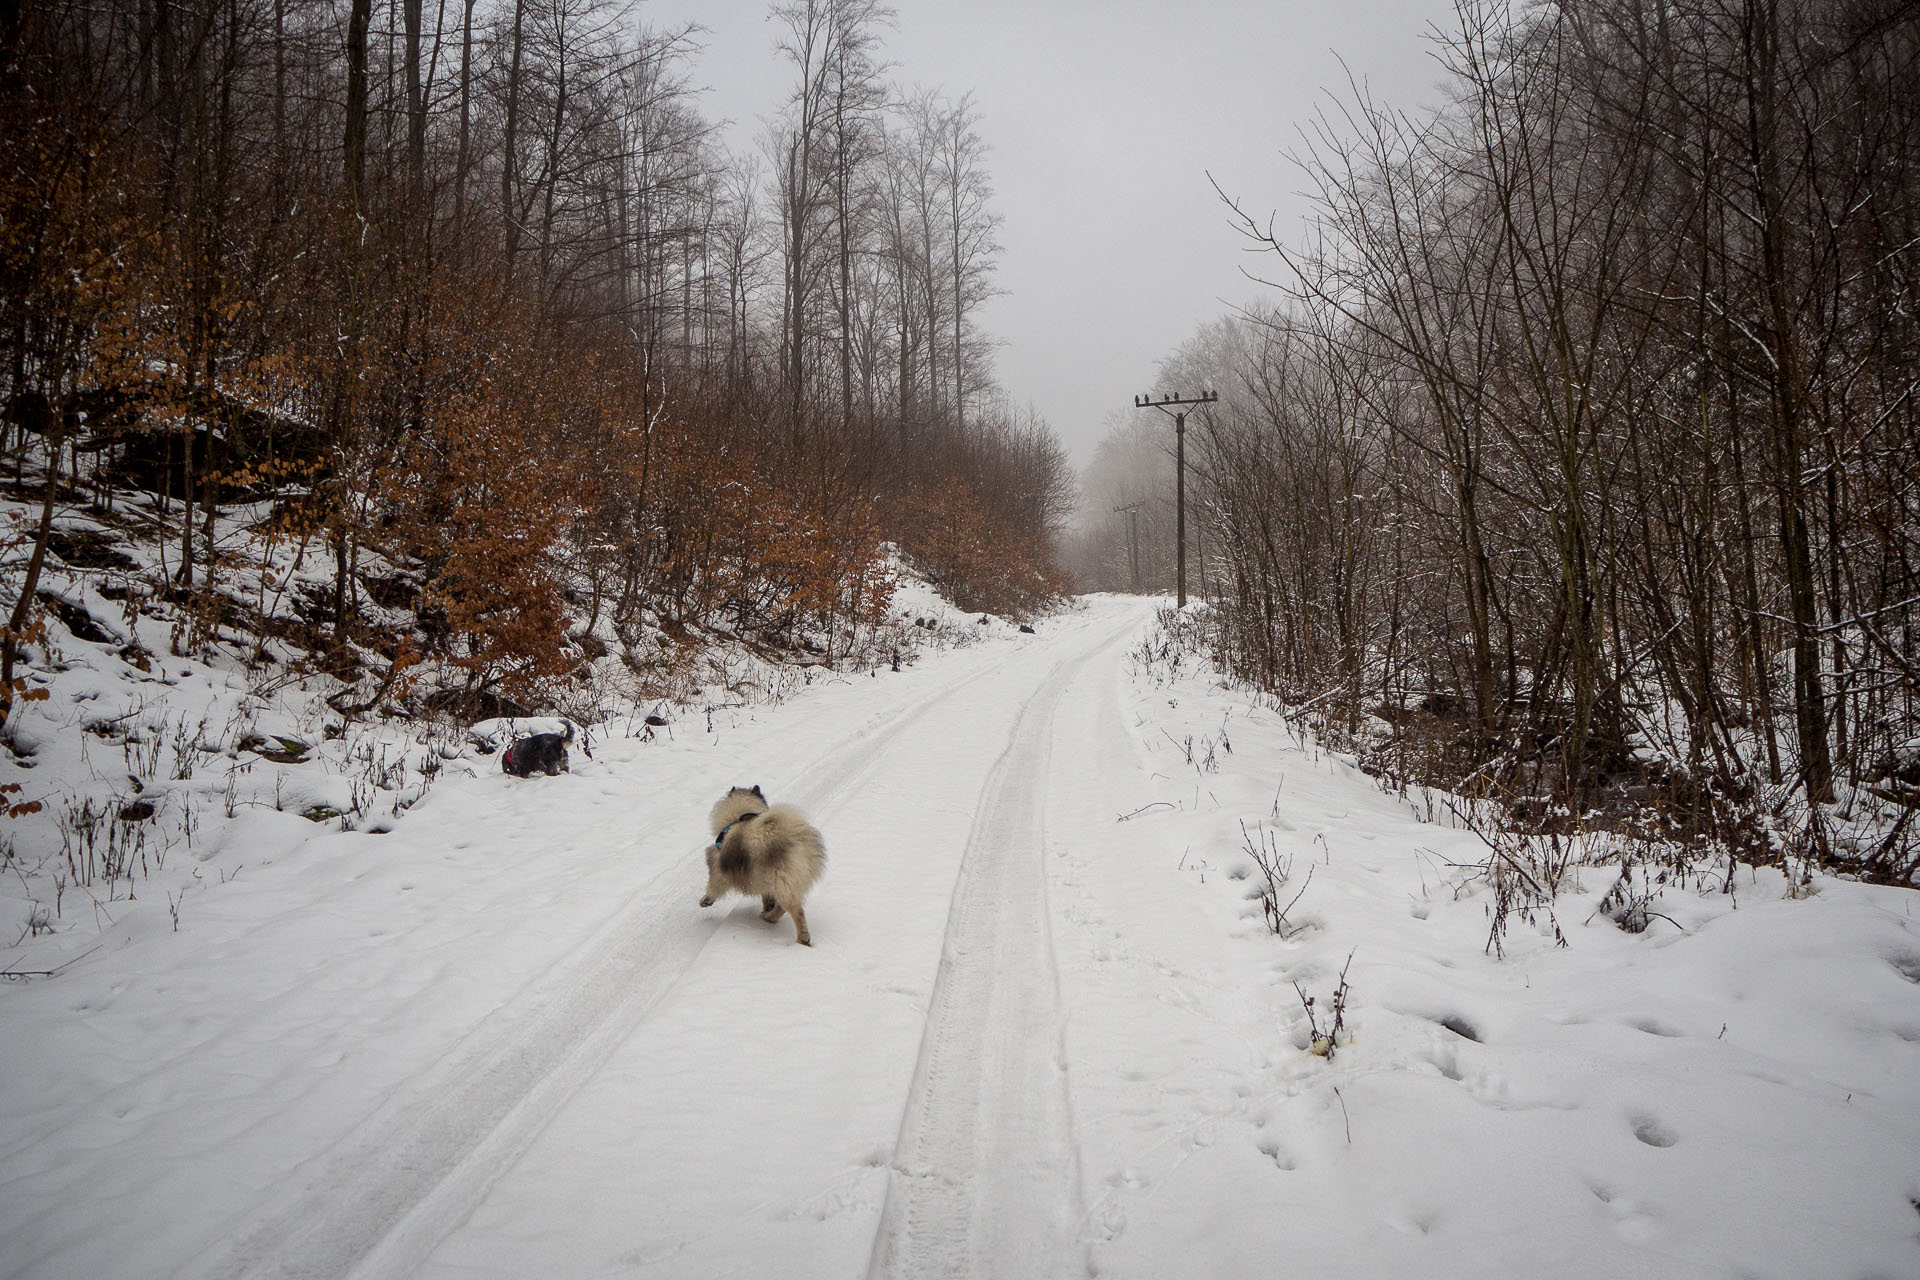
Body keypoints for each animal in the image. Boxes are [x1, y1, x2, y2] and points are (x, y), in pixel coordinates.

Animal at [706, 786, 825, 948]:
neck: (737, 817)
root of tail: (796, 838)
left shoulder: (719, 870)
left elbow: (713, 887)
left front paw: (706, 900)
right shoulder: (761, 880)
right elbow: (766, 899)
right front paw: (766, 907)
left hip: (781, 881)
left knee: (796, 911)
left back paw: (802, 937)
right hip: (783, 882)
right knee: (784, 907)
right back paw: (769, 917)